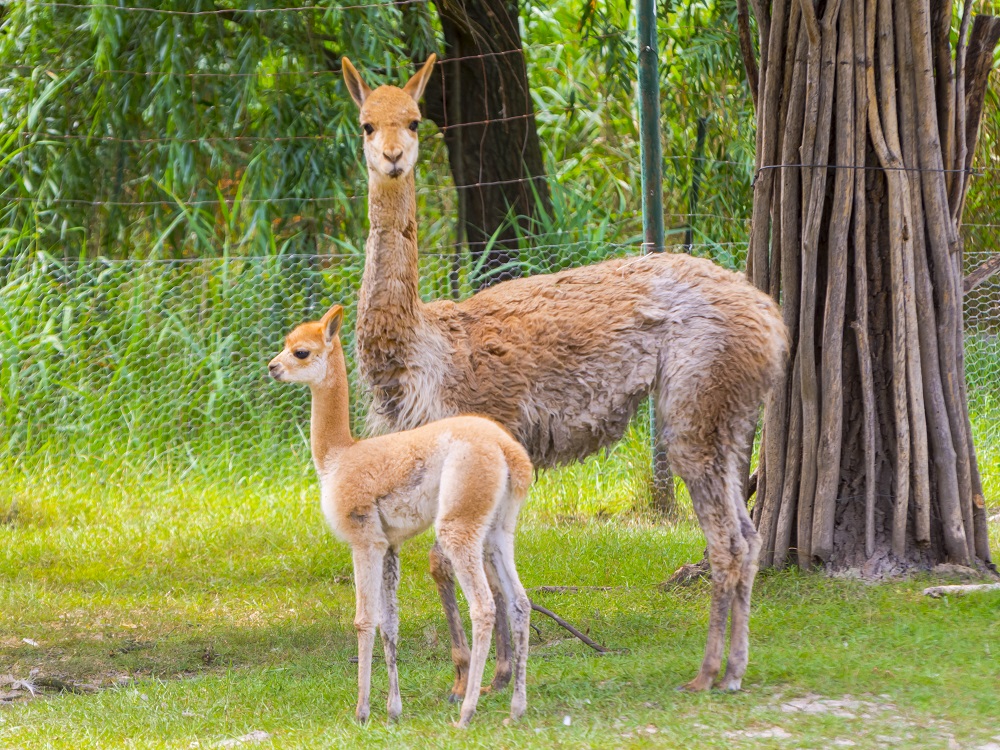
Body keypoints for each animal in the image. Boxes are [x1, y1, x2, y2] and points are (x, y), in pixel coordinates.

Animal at [266, 306, 532, 728]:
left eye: (301, 352)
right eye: (286, 344)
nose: (273, 367)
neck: (338, 456)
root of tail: (507, 450)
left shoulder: (365, 539)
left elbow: (363, 620)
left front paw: (361, 711)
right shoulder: (390, 544)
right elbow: (389, 624)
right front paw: (393, 709)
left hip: (460, 519)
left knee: (484, 606)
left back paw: (467, 711)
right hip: (499, 526)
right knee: (519, 602)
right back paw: (516, 710)